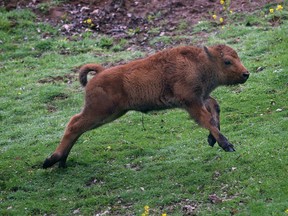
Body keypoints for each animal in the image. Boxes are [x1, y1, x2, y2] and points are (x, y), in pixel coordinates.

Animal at [42, 44, 248, 169]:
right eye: (227, 61)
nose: (246, 74)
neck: (199, 63)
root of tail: (100, 73)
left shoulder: (201, 98)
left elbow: (215, 109)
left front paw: (212, 140)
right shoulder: (191, 103)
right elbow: (207, 119)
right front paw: (226, 144)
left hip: (110, 113)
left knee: (77, 128)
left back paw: (61, 162)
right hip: (101, 112)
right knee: (74, 124)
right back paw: (52, 160)